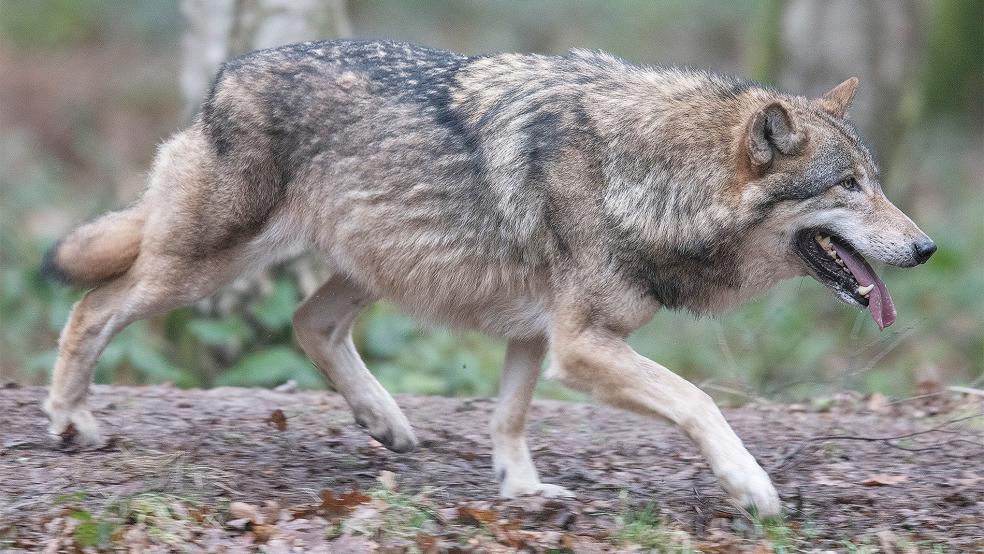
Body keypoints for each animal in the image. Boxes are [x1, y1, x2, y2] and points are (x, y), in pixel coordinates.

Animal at [42, 40, 935, 514]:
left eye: (876, 181)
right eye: (847, 186)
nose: (927, 248)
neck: (652, 175)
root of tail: (226, 75)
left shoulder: (537, 332)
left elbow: (509, 416)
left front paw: (522, 491)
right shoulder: (581, 345)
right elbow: (699, 402)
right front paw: (751, 487)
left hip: (375, 268)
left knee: (309, 322)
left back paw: (386, 421)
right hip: (201, 268)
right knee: (92, 307)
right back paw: (70, 421)